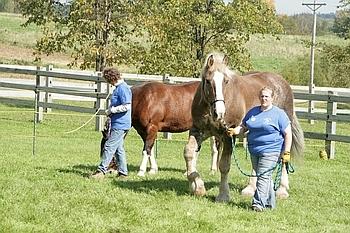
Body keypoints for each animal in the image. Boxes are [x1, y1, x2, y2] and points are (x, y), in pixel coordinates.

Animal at [183, 52, 304, 201]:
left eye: (226, 81)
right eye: (208, 81)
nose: (220, 113)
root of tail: (283, 83)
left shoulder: (228, 136)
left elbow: (224, 165)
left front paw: (223, 195)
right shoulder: (198, 131)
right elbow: (189, 153)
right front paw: (197, 186)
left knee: (283, 156)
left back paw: (281, 189)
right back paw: (250, 188)